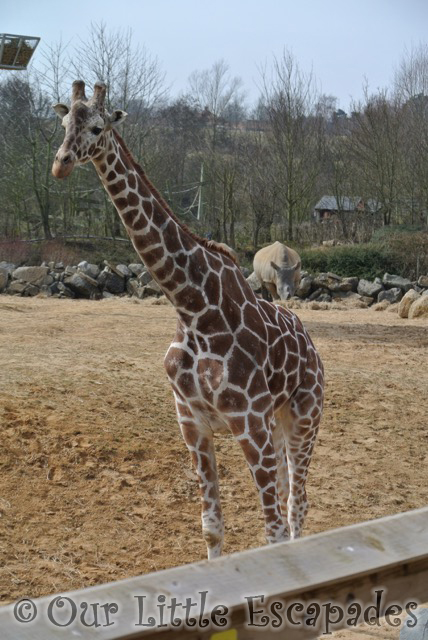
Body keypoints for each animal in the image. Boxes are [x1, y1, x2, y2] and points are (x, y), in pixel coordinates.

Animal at [51, 81, 324, 560]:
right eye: (64, 123)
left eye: (98, 127)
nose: (60, 163)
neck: (193, 307)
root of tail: (311, 344)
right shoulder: (192, 423)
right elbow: (212, 527)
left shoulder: (248, 423)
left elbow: (270, 529)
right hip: (276, 423)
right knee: (291, 496)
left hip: (304, 416)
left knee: (296, 506)